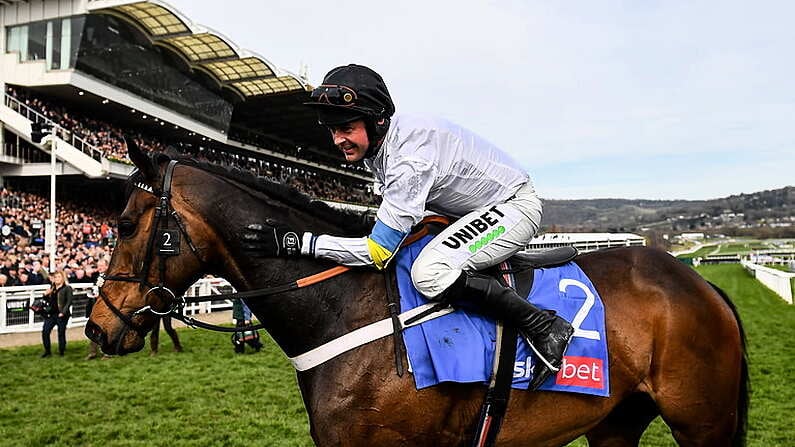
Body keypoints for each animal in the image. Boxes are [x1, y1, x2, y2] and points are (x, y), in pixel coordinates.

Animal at [85, 144, 748, 447]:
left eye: (124, 223)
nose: (97, 326)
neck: (344, 312)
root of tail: (701, 281)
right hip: (615, 420)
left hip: (703, 421)